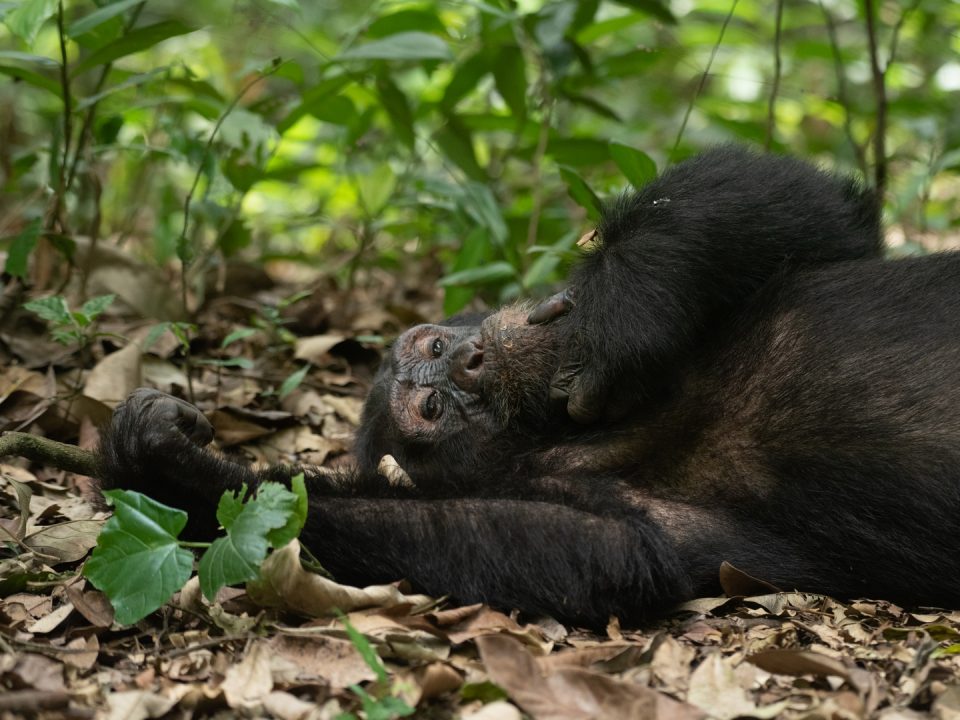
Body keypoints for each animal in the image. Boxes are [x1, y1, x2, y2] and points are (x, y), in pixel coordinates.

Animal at [95, 146, 960, 624]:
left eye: (433, 344)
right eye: (432, 407)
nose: (465, 361)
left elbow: (806, 209)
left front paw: (621, 313)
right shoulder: (629, 511)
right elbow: (580, 550)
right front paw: (168, 465)